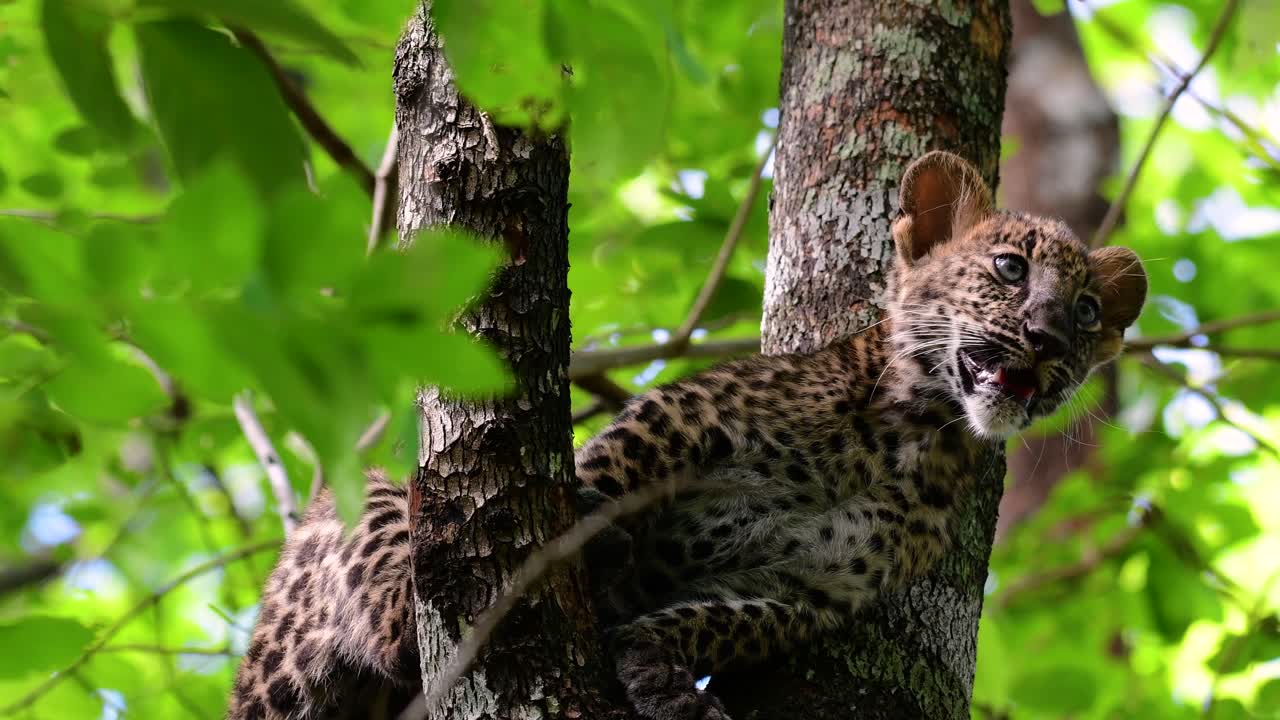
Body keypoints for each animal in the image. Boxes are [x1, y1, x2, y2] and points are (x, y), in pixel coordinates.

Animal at [226, 150, 1147, 720]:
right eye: (1009, 270)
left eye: (1087, 312)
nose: (1050, 340)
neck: (910, 435)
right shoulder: (689, 419)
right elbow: (611, 470)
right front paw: (594, 542)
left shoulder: (808, 590)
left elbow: (720, 619)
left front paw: (660, 671)